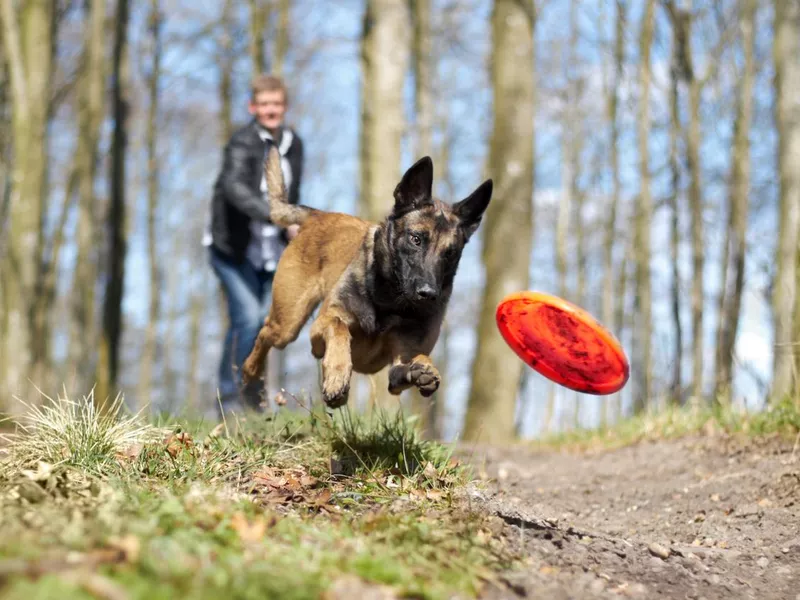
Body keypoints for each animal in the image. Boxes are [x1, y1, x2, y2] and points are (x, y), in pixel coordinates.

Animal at [241, 145, 490, 408]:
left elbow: (410, 364)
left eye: (450, 253)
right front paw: (337, 376)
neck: (389, 302)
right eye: (416, 239)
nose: (428, 294)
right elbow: (339, 326)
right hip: (288, 323)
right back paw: (250, 372)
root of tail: (318, 215)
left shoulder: (399, 364)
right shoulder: (321, 327)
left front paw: (423, 369)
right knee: (265, 332)